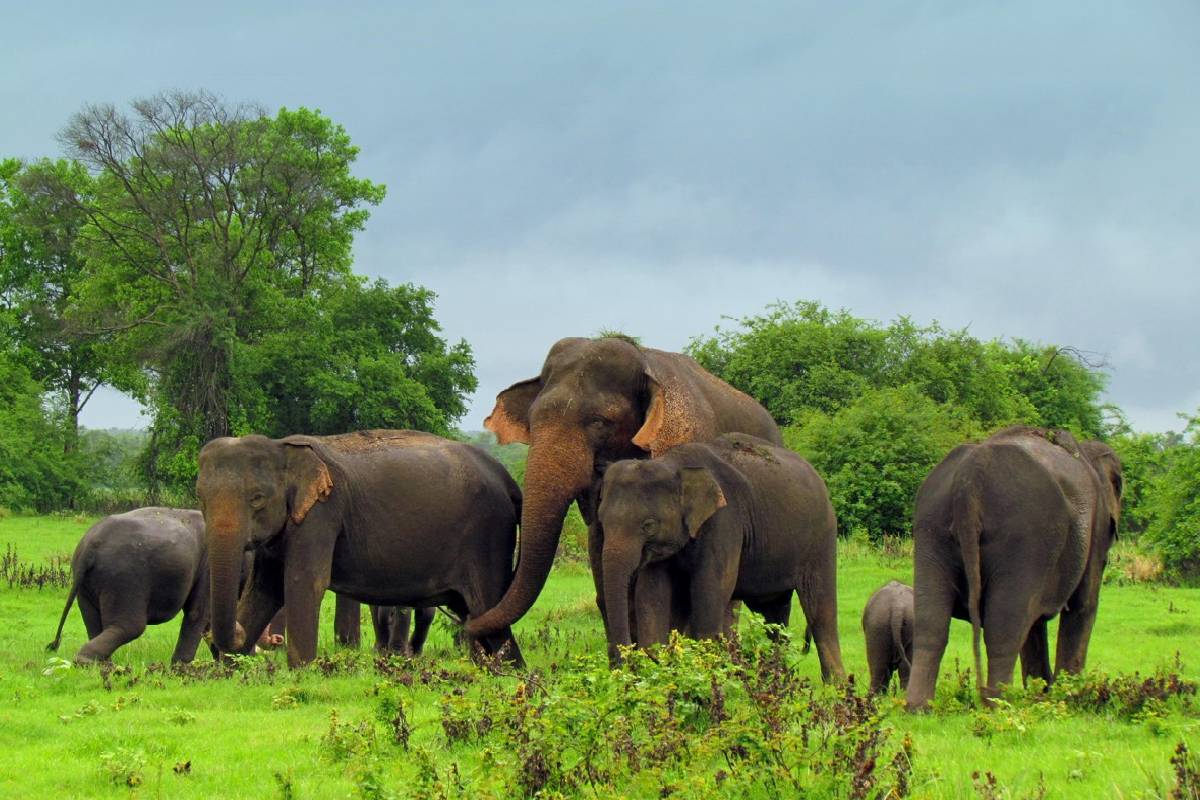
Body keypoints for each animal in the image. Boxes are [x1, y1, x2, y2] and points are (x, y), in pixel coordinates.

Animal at [47, 507, 211, 663]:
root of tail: (91, 544)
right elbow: (198, 612)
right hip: (125, 577)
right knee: (130, 627)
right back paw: (88, 661)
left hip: (86, 583)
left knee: (93, 622)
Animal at [197, 429, 524, 668]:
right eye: (200, 496)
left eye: (257, 498)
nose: (237, 632)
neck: (282, 447)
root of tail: (507, 477)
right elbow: (265, 589)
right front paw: (230, 671)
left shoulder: (322, 513)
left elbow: (304, 583)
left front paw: (301, 672)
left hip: (487, 539)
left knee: (488, 607)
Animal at [595, 433, 845, 681]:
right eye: (601, 520)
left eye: (648, 526)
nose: (624, 669)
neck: (674, 464)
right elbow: (651, 596)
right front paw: (660, 671)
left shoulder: (724, 522)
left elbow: (709, 592)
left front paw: (705, 676)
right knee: (774, 614)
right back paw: (777, 678)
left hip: (822, 538)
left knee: (820, 610)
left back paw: (835, 684)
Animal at [906, 426, 1123, 710]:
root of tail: (969, 479)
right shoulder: (1096, 526)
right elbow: (1082, 606)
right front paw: (1067, 697)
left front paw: (1042, 694)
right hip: (1024, 536)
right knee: (1004, 626)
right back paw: (998, 705)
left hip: (931, 528)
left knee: (931, 622)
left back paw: (918, 708)